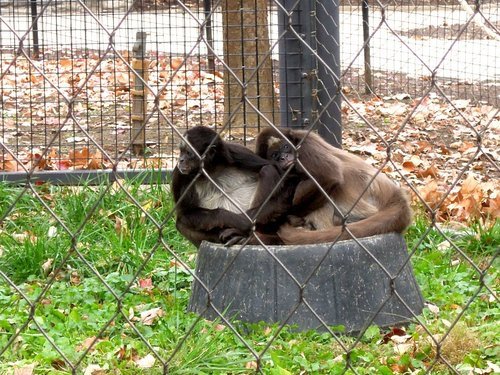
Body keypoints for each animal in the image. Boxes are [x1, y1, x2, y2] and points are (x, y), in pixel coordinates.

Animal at [256, 128, 412, 245]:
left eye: (285, 147)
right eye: (275, 155)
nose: (283, 158)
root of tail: (394, 193)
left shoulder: (305, 144)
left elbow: (330, 176)